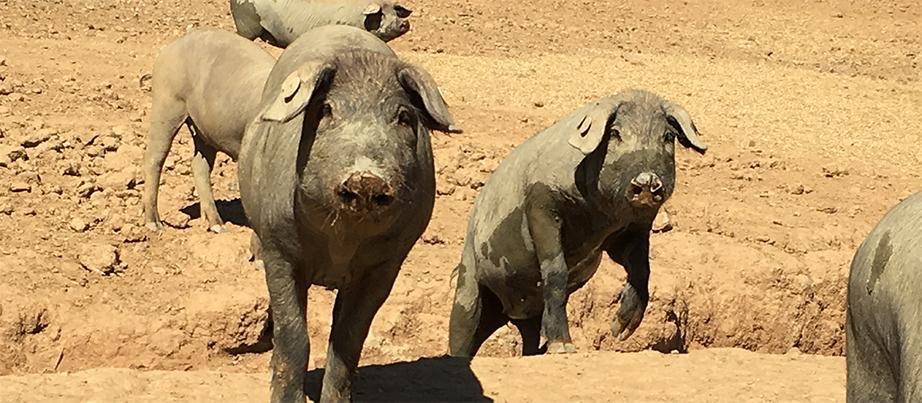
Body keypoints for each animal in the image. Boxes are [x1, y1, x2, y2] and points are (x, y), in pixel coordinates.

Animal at [141, 29, 274, 234]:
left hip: (203, 131)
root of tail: (169, 49)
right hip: (166, 104)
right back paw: (154, 224)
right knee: (154, 158)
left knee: (199, 166)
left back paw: (216, 224)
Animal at [237, 26, 460, 403]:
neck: (342, 242)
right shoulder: (279, 249)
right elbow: (292, 335)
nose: (366, 178)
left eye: (403, 117)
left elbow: (348, 340)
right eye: (326, 110)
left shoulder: (387, 263)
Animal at [450, 90, 708, 358]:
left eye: (668, 136)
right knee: (463, 329)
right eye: (615, 134)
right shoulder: (541, 206)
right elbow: (556, 272)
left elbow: (641, 268)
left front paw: (620, 330)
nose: (647, 180)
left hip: (526, 314)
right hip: (468, 280)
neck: (599, 215)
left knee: (528, 336)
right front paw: (563, 348)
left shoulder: (633, 228)